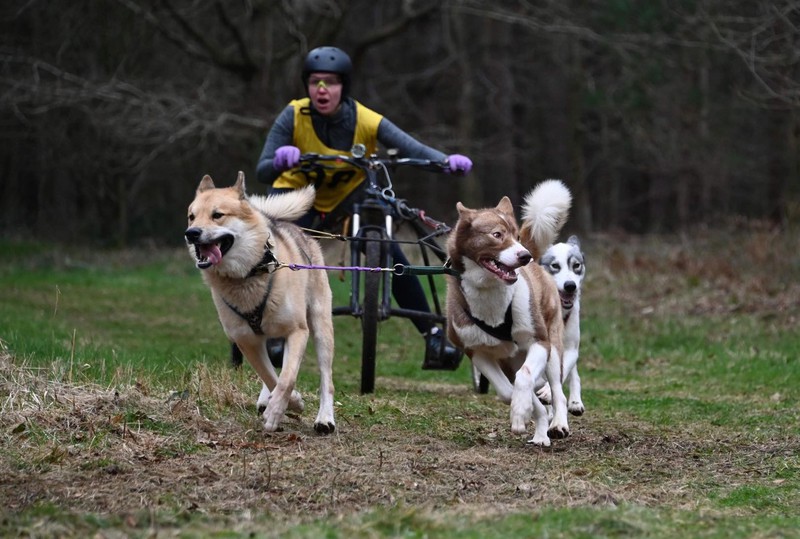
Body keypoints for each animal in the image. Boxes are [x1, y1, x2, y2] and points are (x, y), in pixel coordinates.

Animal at [185, 172, 335, 434]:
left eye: (217, 215)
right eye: (192, 216)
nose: (191, 232)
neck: (248, 275)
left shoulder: (297, 331)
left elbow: (287, 378)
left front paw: (277, 411)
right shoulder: (246, 340)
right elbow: (270, 376)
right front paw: (289, 402)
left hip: (320, 326)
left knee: (325, 376)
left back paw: (325, 418)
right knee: (272, 369)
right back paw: (269, 398)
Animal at [446, 180, 572, 446]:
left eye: (516, 235)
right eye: (497, 235)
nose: (525, 255)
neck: (490, 293)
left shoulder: (539, 341)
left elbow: (525, 376)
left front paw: (521, 410)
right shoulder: (476, 351)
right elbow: (507, 392)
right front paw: (523, 413)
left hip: (553, 346)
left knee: (557, 391)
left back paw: (558, 424)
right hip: (508, 360)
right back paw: (541, 433)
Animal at [537, 235, 586, 416]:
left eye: (576, 265)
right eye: (555, 266)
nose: (570, 285)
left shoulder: (570, 348)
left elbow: (561, 373)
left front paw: (547, 393)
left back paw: (575, 402)